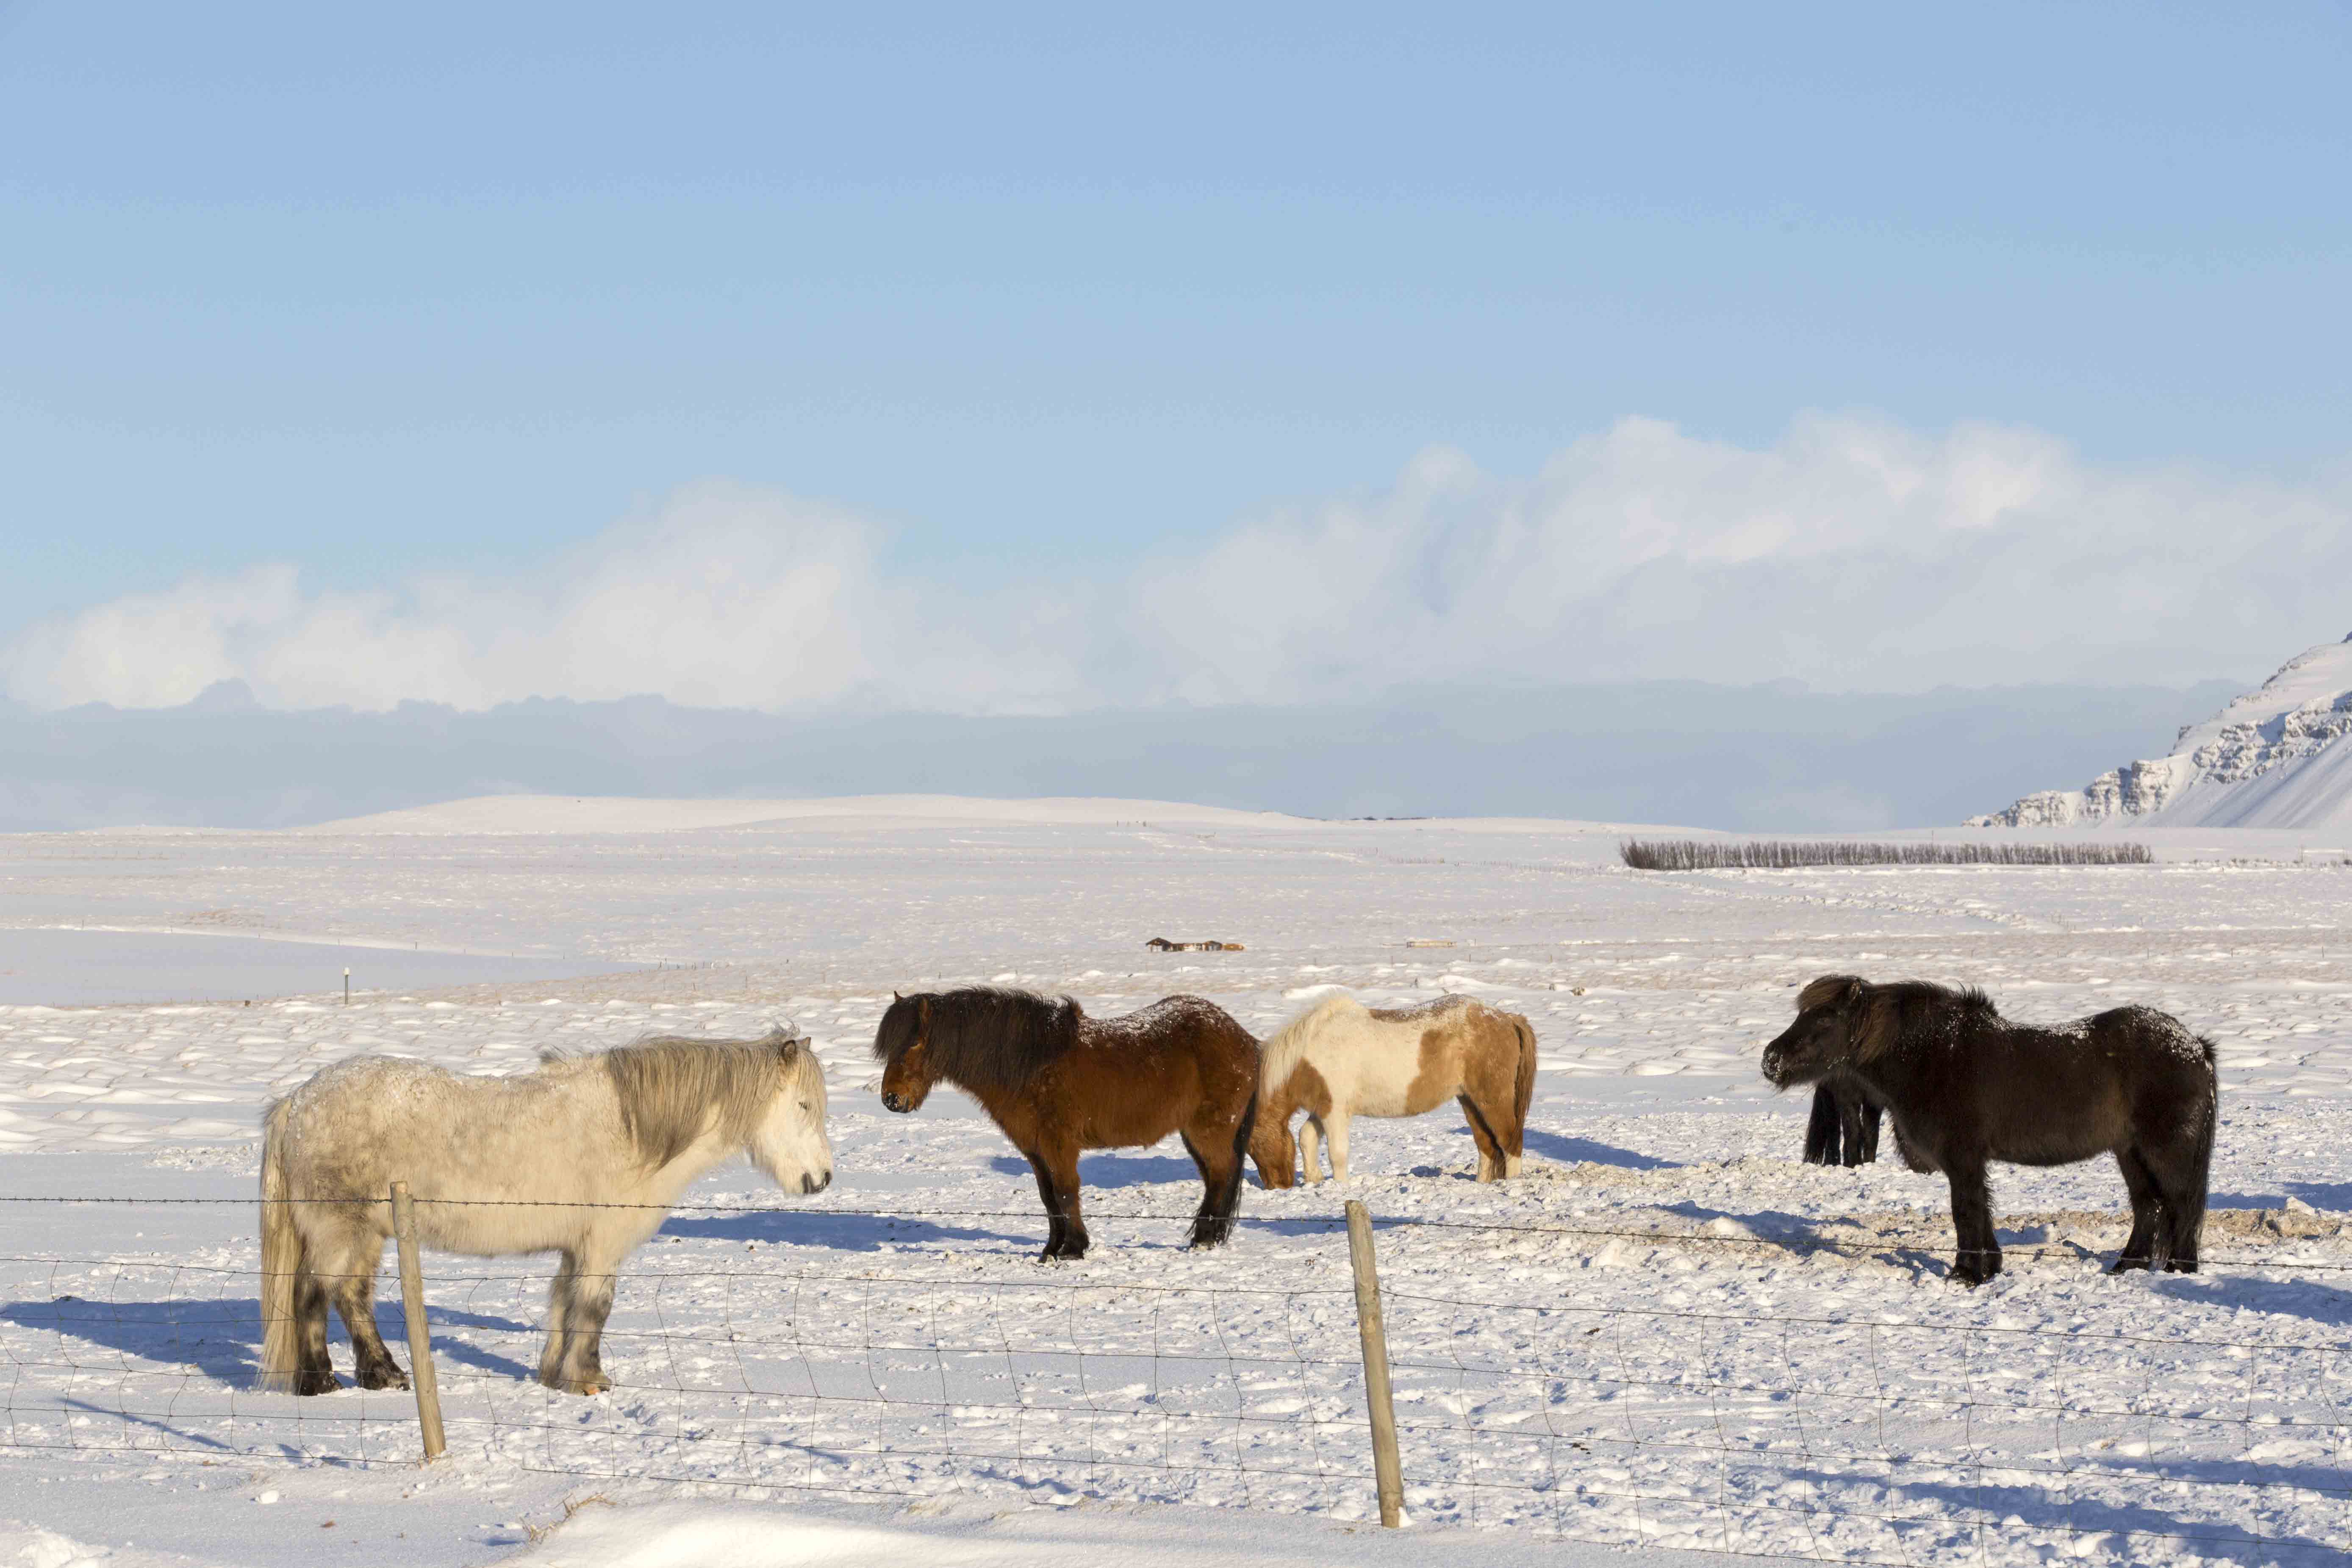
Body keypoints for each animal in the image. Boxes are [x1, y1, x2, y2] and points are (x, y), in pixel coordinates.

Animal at [255, 1030, 828, 1401]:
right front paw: (588, 1380)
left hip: (355, 1231)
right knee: (329, 1294)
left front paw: (554, 1374)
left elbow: (563, 1304)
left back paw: (348, 1378)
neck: (633, 1130)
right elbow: (595, 1307)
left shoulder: (576, 1245)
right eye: (803, 1106)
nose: (821, 1178)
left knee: (330, 1294)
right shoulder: (601, 1244)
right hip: (343, 1227)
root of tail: (297, 1102)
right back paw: (354, 1377)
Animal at [870, 992, 1270, 1260]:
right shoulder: (1035, 1150)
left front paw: (1074, 1248)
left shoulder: (1059, 1145)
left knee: (1221, 1177)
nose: (891, 1099)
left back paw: (1205, 1239)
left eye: (915, 1043)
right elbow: (1049, 1198)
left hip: (1210, 1132)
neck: (1032, 1063)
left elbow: (1066, 1192)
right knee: (1215, 1180)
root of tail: (1245, 1040)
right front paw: (1051, 1248)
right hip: (1194, 1135)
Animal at [1251, 992, 1543, 1189]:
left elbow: (1337, 1154)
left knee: (1509, 1142)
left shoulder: (1335, 1112)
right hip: (1470, 1101)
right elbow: (1307, 1137)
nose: (1277, 1186)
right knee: (1487, 1146)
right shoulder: (1323, 1108)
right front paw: (1315, 1179)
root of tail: (1506, 1019)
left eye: (1252, 1144)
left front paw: (1340, 1187)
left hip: (1492, 1100)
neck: (1310, 1052)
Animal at [1769, 973, 2220, 1297]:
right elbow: (1980, 1210)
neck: (1934, 1056)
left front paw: (1966, 1273)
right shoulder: (1968, 1161)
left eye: (1825, 1018)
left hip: (2165, 1151)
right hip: (2131, 1152)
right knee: (2149, 1207)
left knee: (2180, 1205)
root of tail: (2196, 1046)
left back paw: (2180, 1272)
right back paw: (2126, 1267)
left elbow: (1966, 1211)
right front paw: (1989, 1268)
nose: (1770, 1059)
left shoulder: (1963, 1158)